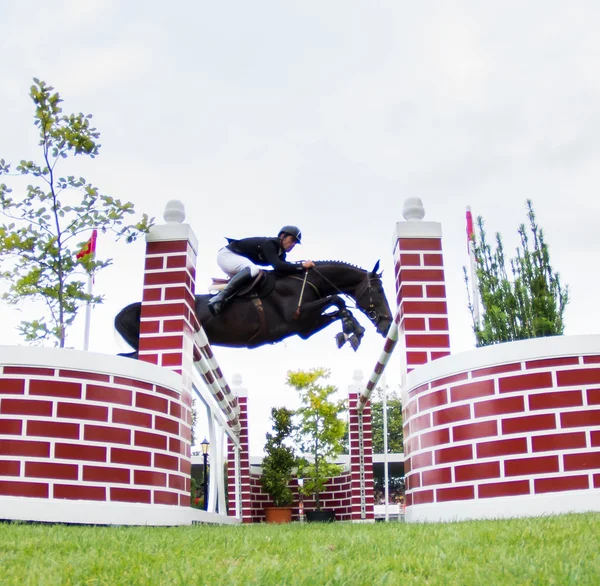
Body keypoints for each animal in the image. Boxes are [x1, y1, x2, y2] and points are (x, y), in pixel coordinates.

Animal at [113, 258, 394, 352]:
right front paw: (353, 331)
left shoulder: (304, 328)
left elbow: (338, 307)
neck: (306, 281)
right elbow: (337, 300)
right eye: (379, 290)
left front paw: (350, 332)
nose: (388, 322)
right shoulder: (298, 317)